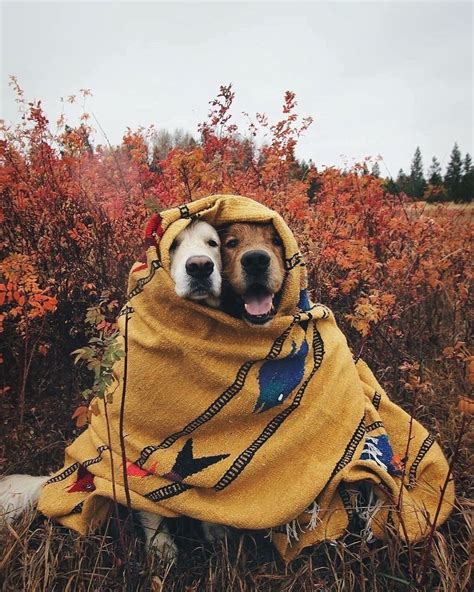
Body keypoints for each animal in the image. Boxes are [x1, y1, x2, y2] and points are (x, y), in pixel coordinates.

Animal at [0, 220, 226, 560]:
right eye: (173, 245)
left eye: (213, 243)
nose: (199, 267)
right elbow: (149, 508)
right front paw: (162, 549)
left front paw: (217, 536)